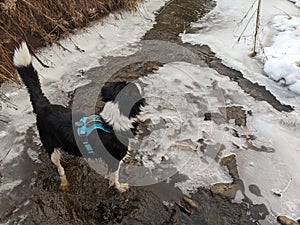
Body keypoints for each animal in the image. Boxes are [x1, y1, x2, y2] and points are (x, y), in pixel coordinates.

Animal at [13, 42, 144, 192]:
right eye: (133, 87)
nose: (139, 82)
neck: (111, 123)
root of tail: (45, 106)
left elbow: (108, 175)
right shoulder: (114, 160)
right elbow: (114, 178)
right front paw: (120, 187)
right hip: (51, 148)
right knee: (59, 168)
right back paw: (64, 182)